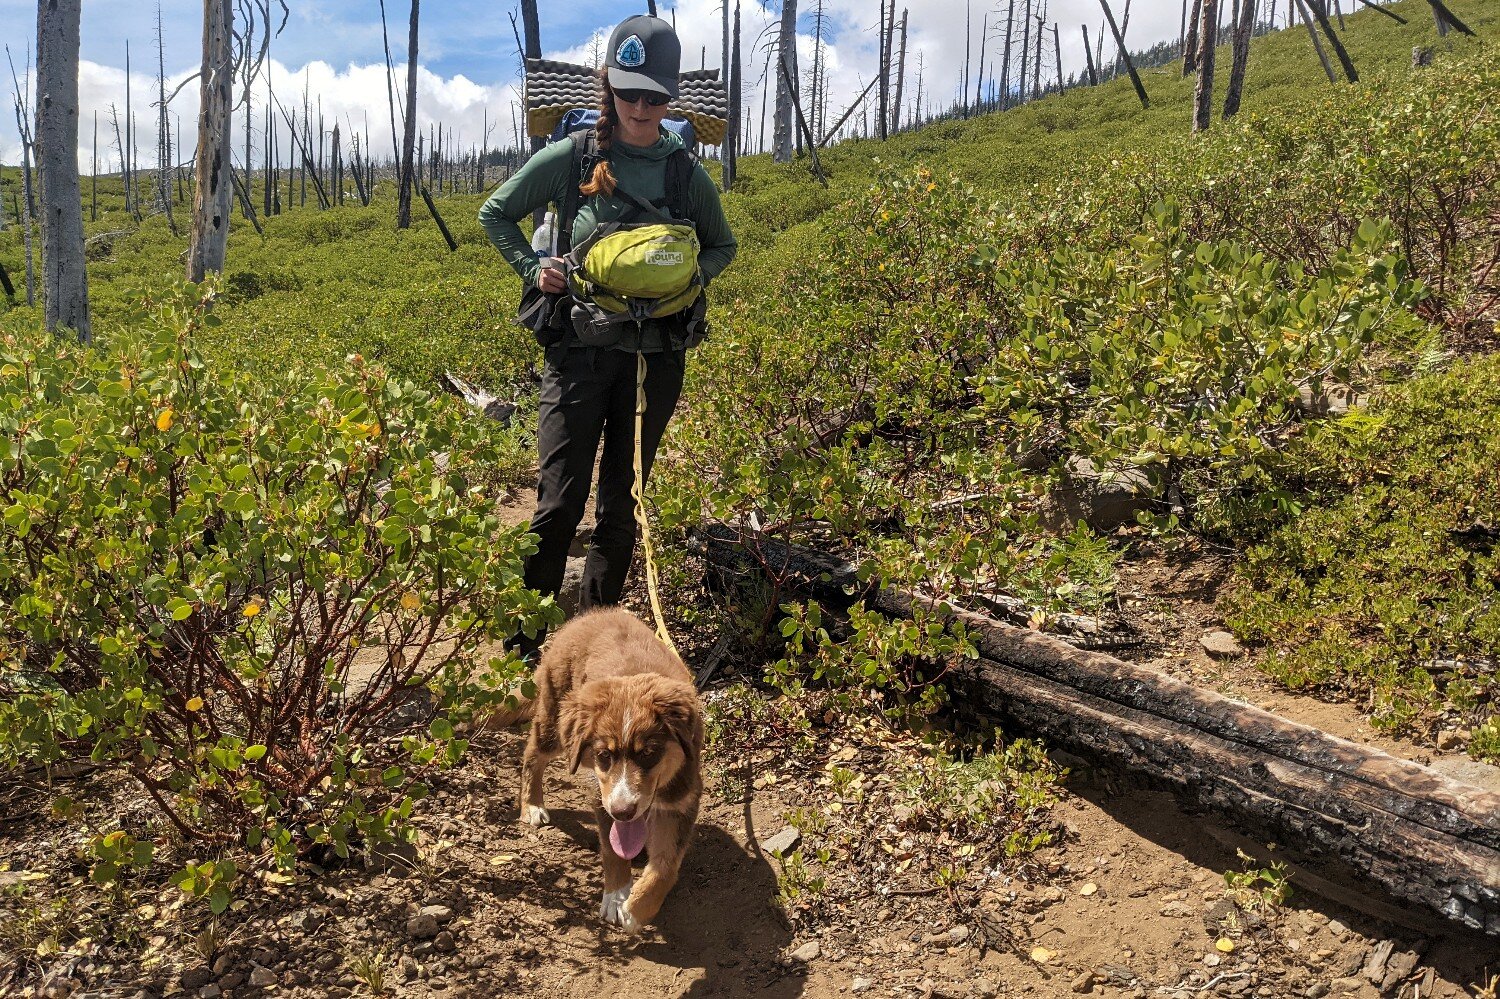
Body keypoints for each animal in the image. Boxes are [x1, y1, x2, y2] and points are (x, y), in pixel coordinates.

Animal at [519, 603, 705, 930]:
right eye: (604, 755)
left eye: (649, 753)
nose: (623, 811)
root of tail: (591, 614)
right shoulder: (601, 793)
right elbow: (612, 849)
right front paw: (617, 897)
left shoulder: (681, 799)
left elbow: (666, 866)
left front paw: (637, 908)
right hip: (554, 722)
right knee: (532, 754)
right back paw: (532, 804)